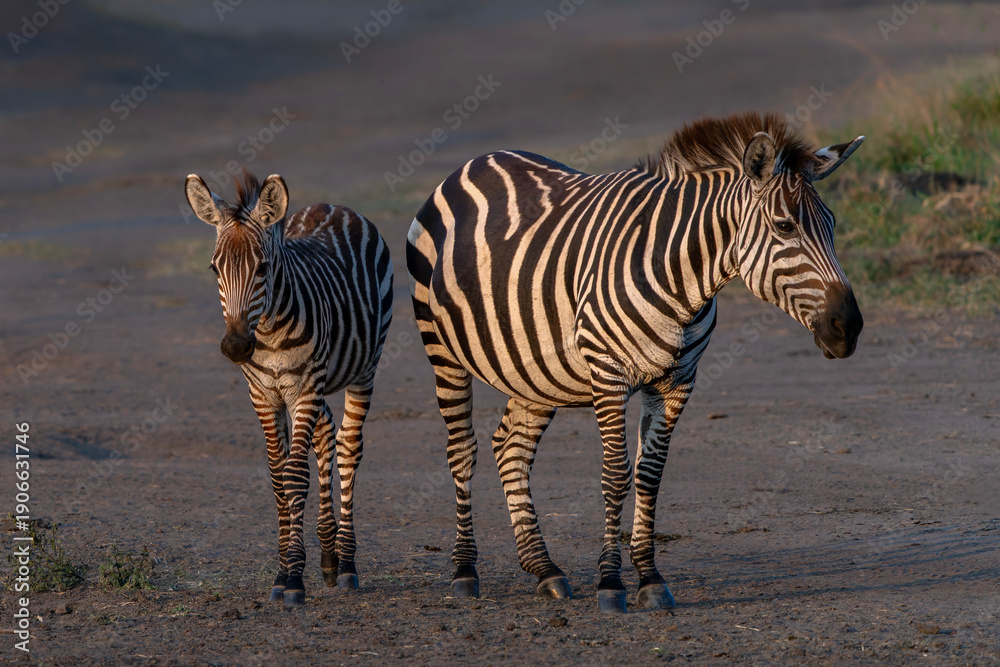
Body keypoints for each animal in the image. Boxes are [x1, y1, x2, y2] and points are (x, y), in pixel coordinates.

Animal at [185, 170, 393, 606]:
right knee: (326, 433)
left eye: (263, 267)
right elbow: (278, 478)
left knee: (349, 448)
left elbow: (296, 475)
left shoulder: (305, 388)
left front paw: (295, 578)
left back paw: (346, 563)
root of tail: (333, 206)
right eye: (214, 269)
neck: (267, 332)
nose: (235, 346)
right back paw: (329, 555)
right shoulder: (264, 395)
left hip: (364, 369)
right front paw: (283, 573)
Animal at [406, 111, 863, 613]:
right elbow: (615, 477)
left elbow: (649, 475)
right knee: (462, 452)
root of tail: (476, 161)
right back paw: (465, 571)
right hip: (441, 349)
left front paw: (649, 578)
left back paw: (544, 569)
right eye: (784, 227)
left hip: (534, 371)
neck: (683, 279)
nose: (849, 327)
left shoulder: (678, 380)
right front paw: (610, 583)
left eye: (833, 226)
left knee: (511, 447)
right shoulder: (608, 374)